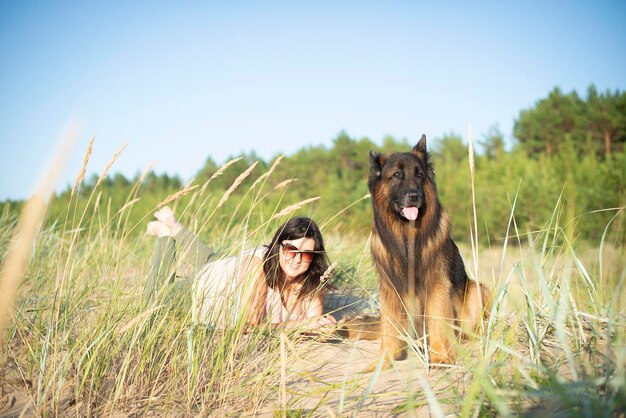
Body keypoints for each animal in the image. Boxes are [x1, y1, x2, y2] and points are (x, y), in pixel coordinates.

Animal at [344, 135, 490, 370]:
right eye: (397, 175)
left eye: (419, 174)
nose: (414, 195)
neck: (407, 237)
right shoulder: (390, 288)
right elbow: (389, 327)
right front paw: (384, 359)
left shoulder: (437, 284)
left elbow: (438, 319)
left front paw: (440, 356)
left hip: (477, 290)